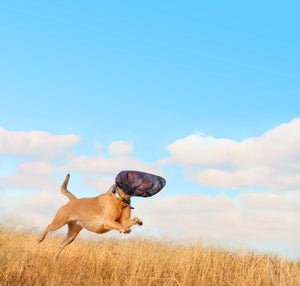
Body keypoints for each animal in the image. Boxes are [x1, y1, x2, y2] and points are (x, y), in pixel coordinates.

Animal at [37, 171, 166, 260]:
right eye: (136, 178)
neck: (120, 200)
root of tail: (73, 200)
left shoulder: (124, 220)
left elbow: (131, 219)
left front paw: (138, 221)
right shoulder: (109, 220)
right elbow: (118, 225)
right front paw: (124, 230)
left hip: (72, 235)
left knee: (60, 246)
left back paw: (54, 259)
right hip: (59, 222)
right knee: (48, 226)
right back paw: (40, 239)